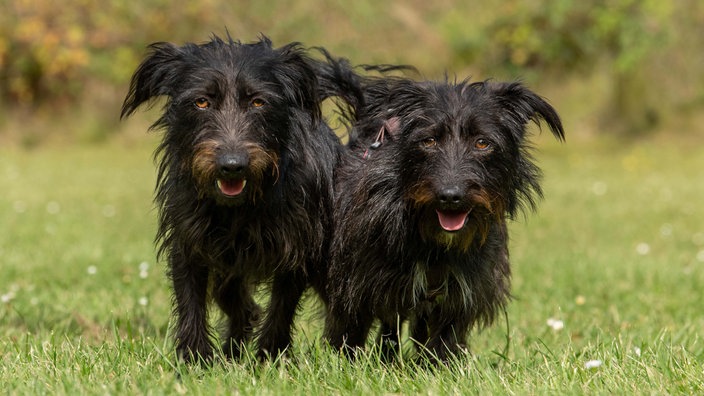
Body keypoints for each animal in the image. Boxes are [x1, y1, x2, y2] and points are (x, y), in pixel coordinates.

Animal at [121, 35, 340, 364]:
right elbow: (190, 300)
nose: (232, 164)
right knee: (243, 308)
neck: (241, 205)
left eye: (258, 102)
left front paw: (270, 357)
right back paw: (232, 353)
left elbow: (282, 306)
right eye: (201, 101)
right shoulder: (190, 241)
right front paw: (194, 358)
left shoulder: (295, 246)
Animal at [322, 70, 564, 362]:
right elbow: (352, 325)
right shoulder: (357, 282)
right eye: (429, 141)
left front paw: (439, 365)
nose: (450, 195)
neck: (433, 241)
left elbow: (444, 333)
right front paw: (346, 362)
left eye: (482, 142)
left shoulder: (462, 289)